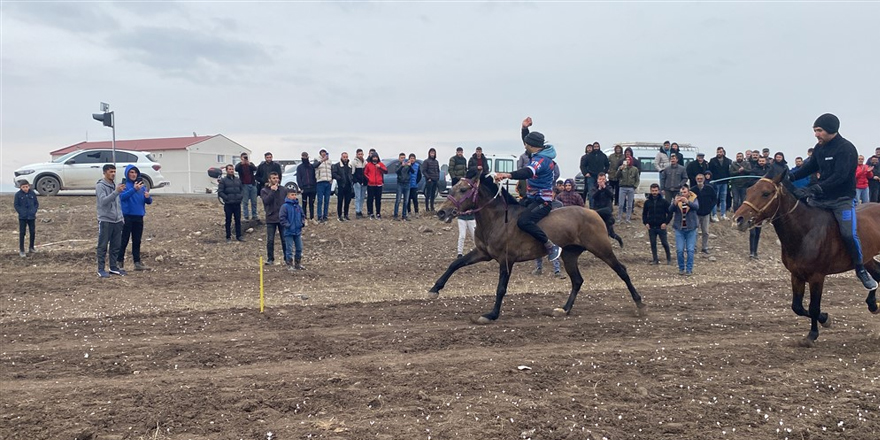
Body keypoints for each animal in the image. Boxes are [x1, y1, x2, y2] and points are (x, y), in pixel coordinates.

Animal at [430, 174, 644, 324]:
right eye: (454, 188)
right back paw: (564, 309)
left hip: (601, 248)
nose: (442, 212)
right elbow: (455, 263)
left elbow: (501, 288)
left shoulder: (505, 260)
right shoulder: (483, 253)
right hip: (570, 255)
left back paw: (639, 304)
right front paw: (435, 289)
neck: (498, 219)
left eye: (463, 189)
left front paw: (491, 314)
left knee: (622, 271)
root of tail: (595, 212)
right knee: (577, 280)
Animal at [728, 170, 880, 346]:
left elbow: (814, 307)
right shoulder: (796, 275)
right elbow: (797, 307)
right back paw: (873, 304)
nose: (738, 220)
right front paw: (825, 318)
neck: (806, 231)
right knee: (877, 275)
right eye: (748, 191)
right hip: (866, 258)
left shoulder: (817, 277)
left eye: (766, 193)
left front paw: (812, 335)